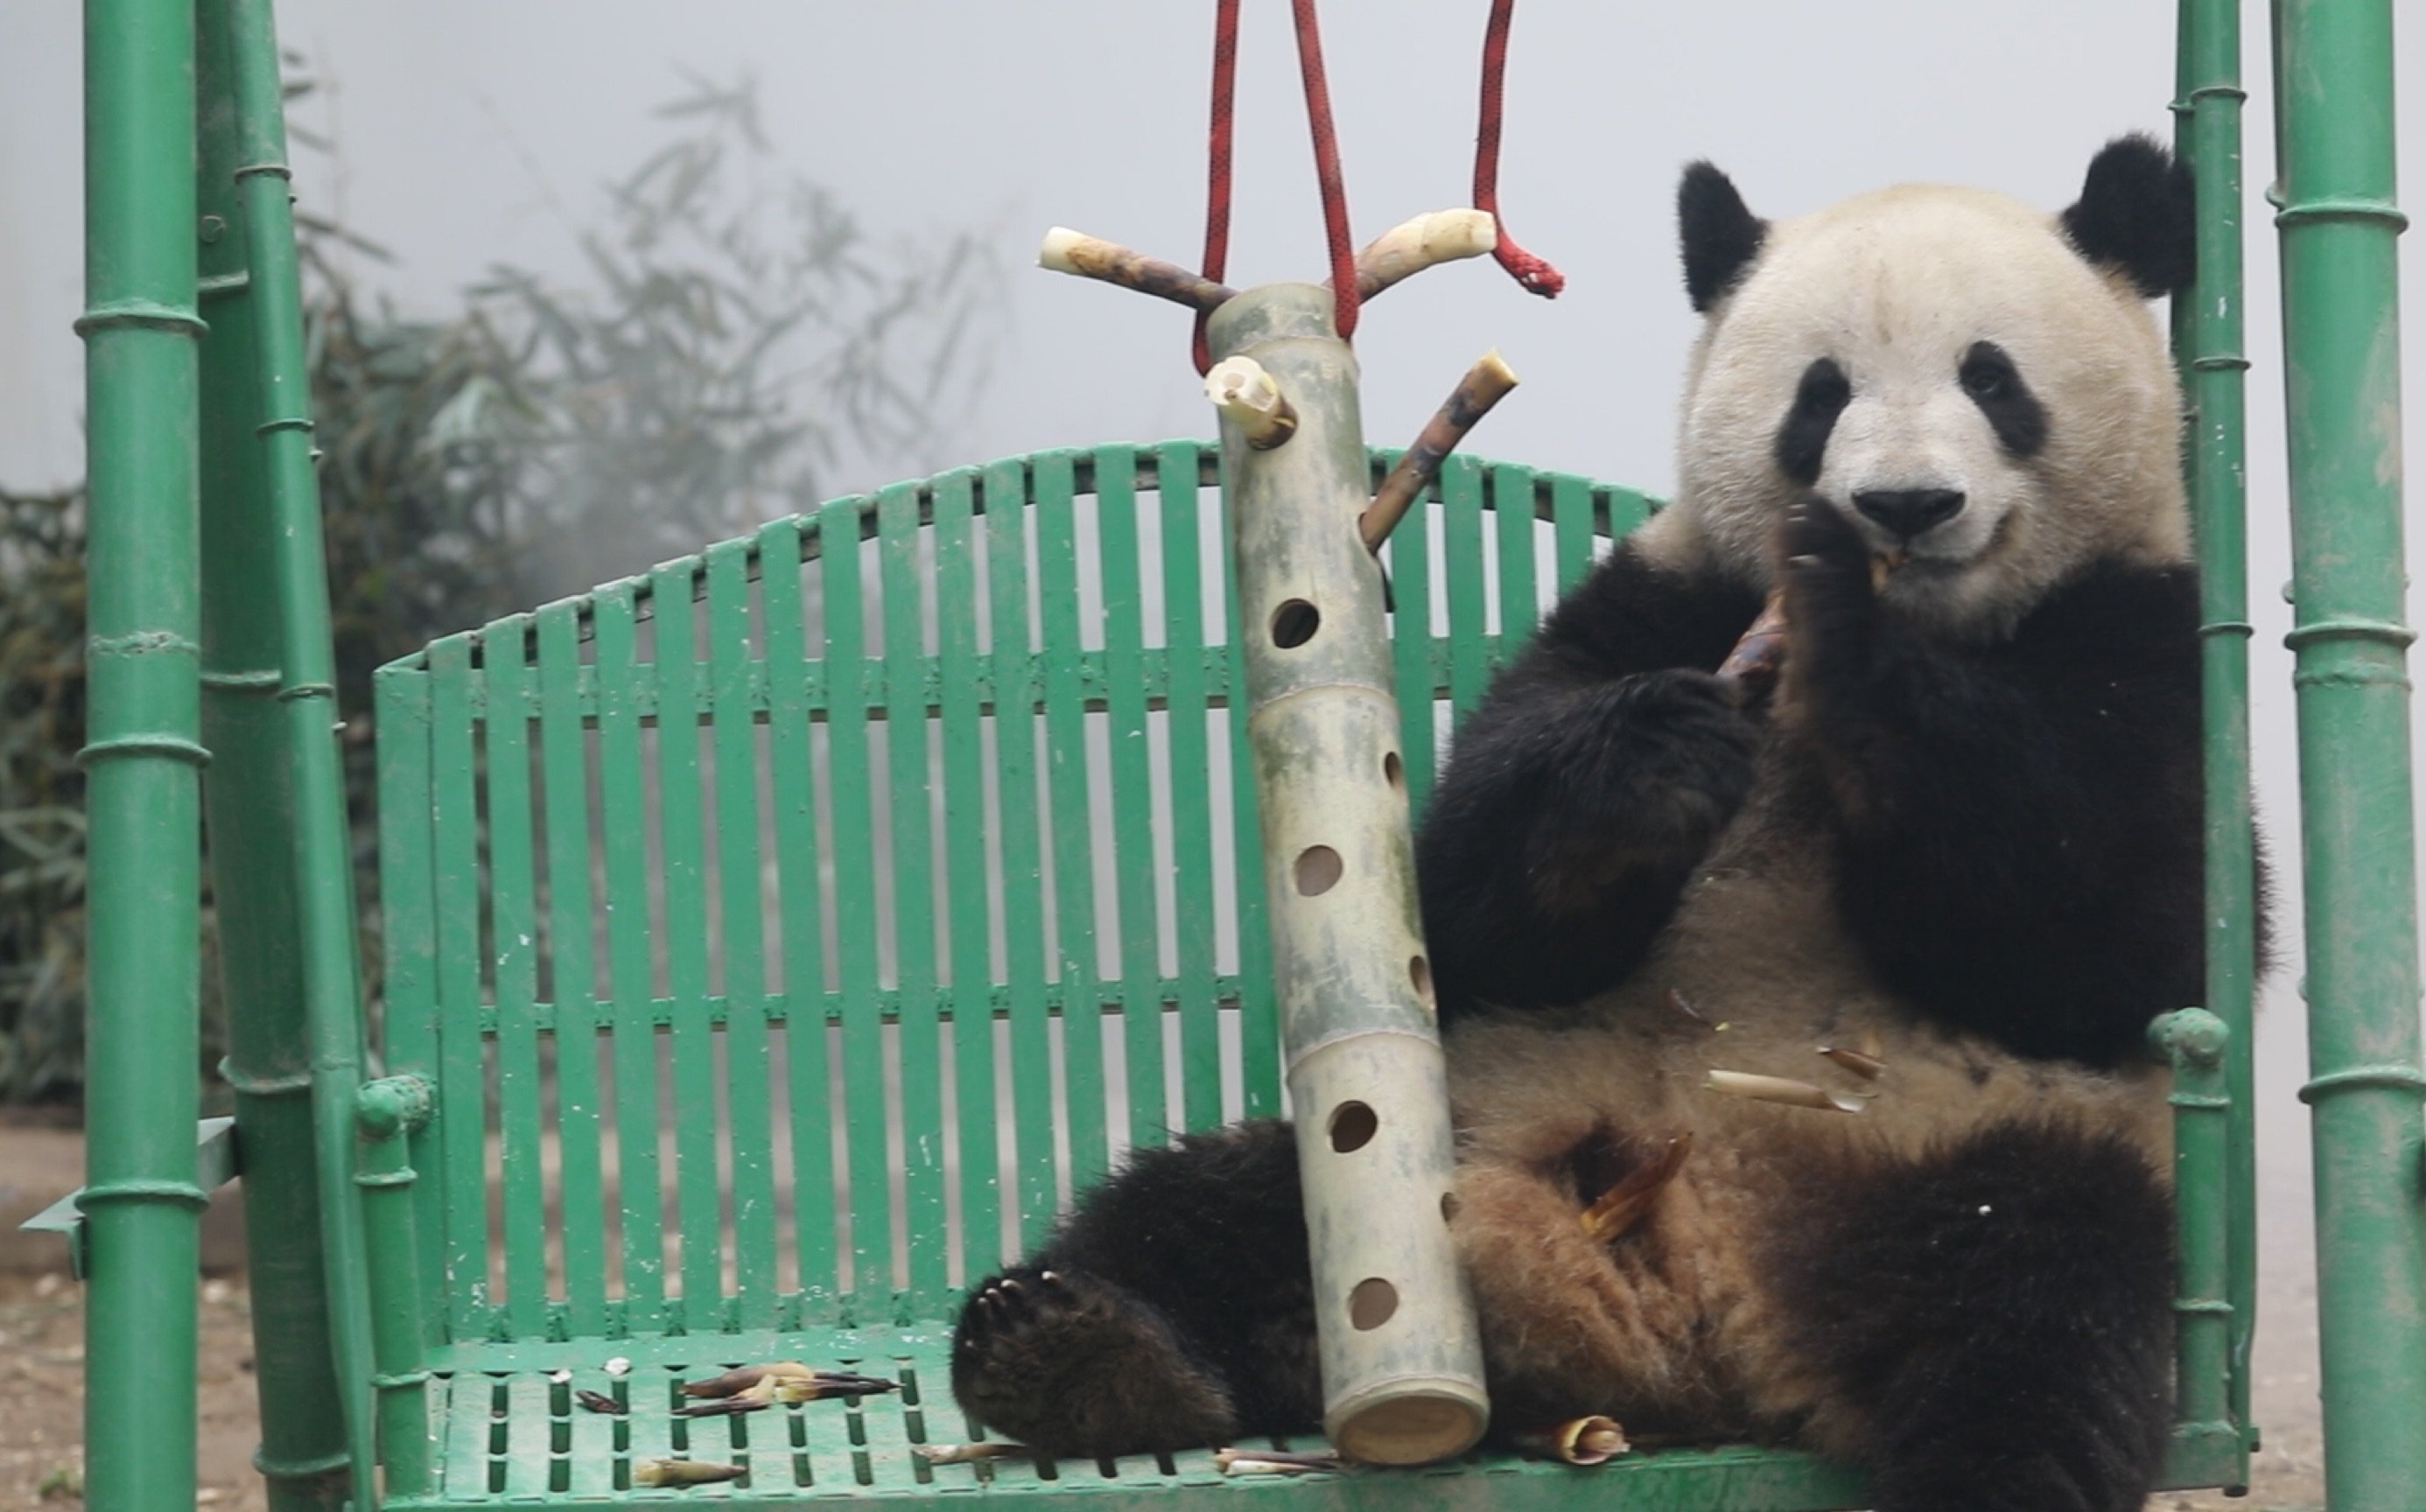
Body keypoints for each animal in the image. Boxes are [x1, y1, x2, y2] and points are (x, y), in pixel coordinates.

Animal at [950, 132, 2222, 1512]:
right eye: (1821, 394)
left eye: (1991, 379)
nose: (1902, 508)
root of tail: (1693, 1323)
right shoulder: (1658, 595)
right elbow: (1472, 901)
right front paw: (1649, 760)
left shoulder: (2150, 632)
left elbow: (2109, 933)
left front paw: (1854, 637)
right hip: (1474, 1118)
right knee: (1203, 1208)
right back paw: (1074, 1346)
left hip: (1972, 1144)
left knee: (2037, 1328)